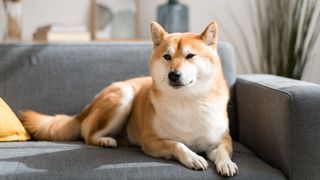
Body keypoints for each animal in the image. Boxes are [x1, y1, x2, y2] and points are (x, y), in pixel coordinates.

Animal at [21, 20, 238, 176]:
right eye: (167, 57)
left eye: (190, 56)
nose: (173, 75)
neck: (188, 100)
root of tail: (87, 107)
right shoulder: (151, 142)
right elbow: (177, 144)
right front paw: (193, 157)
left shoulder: (222, 139)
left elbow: (222, 151)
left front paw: (226, 163)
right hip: (124, 96)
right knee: (88, 136)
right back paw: (105, 140)